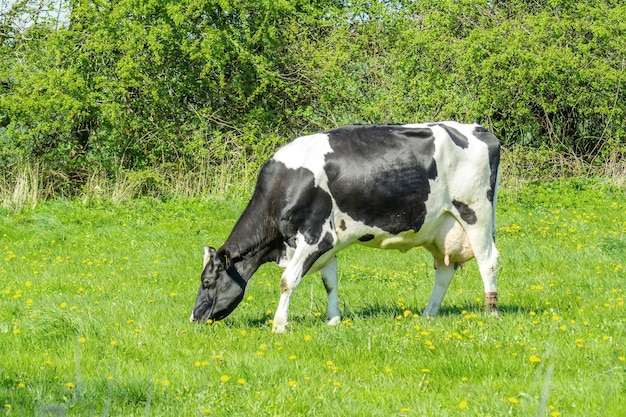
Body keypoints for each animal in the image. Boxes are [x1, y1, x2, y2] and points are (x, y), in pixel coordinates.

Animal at [188, 120, 500, 332]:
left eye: (207, 281)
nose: (193, 319)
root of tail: (479, 129)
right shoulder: (329, 243)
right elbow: (330, 282)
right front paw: (334, 319)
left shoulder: (316, 236)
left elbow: (288, 280)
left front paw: (279, 325)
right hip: (441, 227)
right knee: (444, 271)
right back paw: (428, 313)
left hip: (476, 212)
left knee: (488, 261)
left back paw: (491, 312)